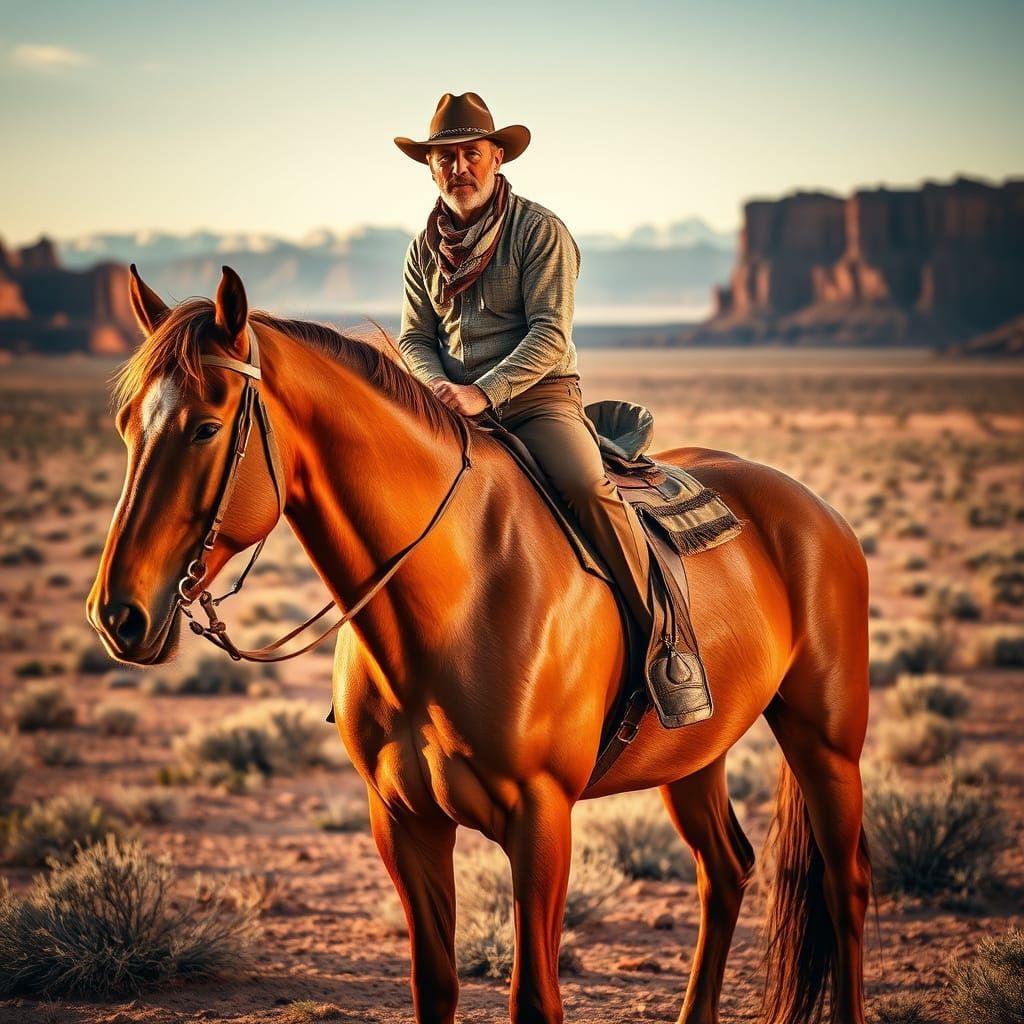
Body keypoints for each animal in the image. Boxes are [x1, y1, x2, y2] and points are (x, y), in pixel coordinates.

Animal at [87, 266, 871, 1024]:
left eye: (205, 428)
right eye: (126, 426)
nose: (116, 614)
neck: (451, 598)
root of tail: (816, 509)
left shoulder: (541, 817)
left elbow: (535, 997)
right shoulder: (404, 822)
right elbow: (435, 986)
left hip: (825, 741)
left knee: (846, 884)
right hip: (694, 756)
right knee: (726, 868)